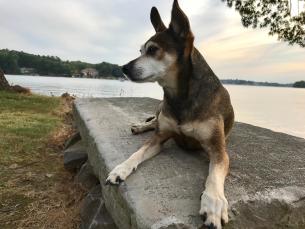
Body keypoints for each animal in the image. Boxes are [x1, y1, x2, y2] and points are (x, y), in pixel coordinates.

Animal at [104, 0, 233, 228]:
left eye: (153, 50)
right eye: (140, 50)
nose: (123, 68)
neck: (180, 95)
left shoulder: (218, 149)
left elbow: (214, 174)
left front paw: (214, 203)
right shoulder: (160, 137)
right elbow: (138, 152)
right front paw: (121, 169)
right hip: (160, 108)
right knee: (153, 119)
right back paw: (141, 126)